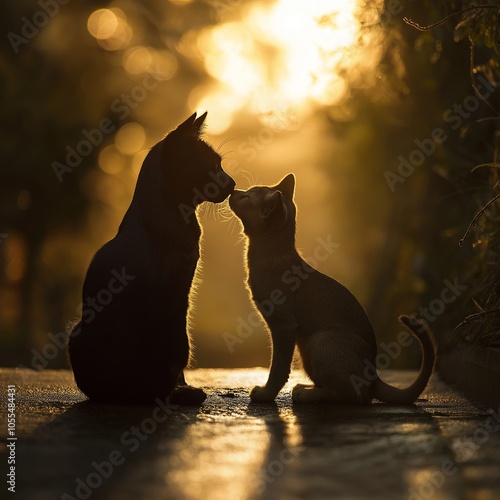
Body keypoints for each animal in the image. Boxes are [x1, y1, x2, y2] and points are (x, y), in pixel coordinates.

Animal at [67, 111, 236, 404]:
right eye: (214, 166)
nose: (233, 183)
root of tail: (124, 393)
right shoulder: (180, 293)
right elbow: (180, 358)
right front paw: (184, 388)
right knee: (164, 379)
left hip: (75, 335)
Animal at [229, 174, 436, 404]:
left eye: (246, 197)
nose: (233, 191)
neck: (274, 255)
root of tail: (374, 377)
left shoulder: (284, 326)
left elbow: (278, 368)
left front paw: (266, 394)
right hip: (307, 348)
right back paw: (306, 388)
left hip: (319, 340)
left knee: (351, 395)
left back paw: (306, 394)